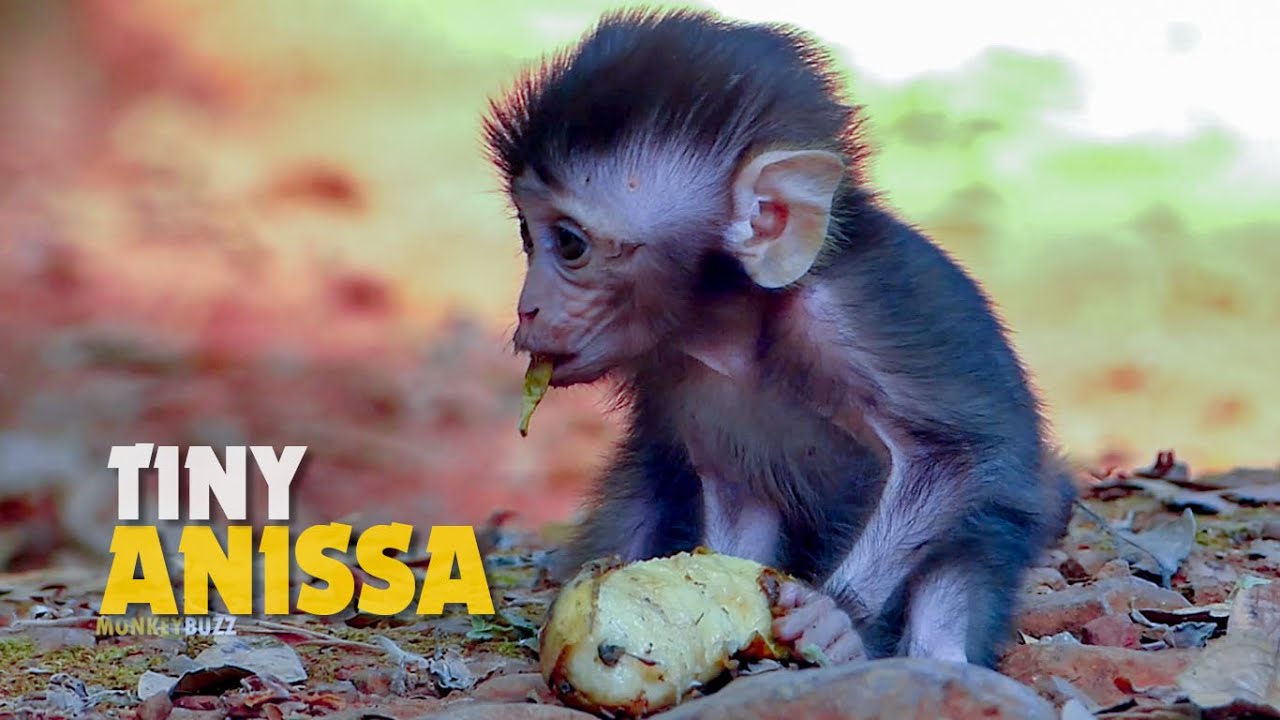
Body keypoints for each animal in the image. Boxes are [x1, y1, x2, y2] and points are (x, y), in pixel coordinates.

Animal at [484, 8, 1076, 669]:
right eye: (527, 233)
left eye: (569, 244)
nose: (528, 307)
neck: (740, 327)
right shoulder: (697, 379)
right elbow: (739, 501)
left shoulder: (842, 322)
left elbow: (951, 459)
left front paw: (834, 615)